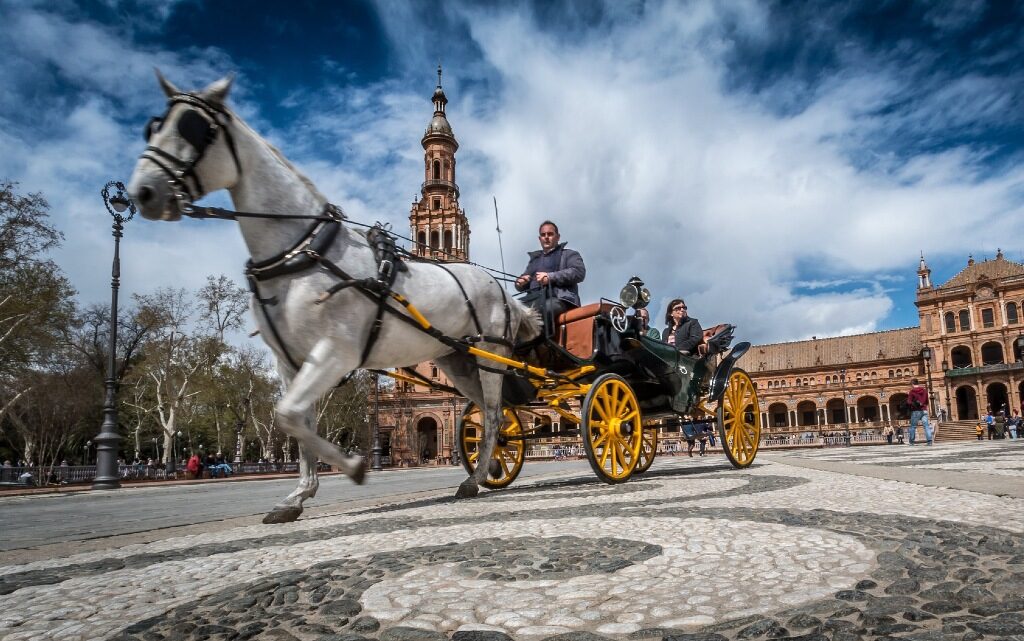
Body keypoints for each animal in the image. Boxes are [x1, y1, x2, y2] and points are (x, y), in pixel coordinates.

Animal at [125, 72, 536, 522]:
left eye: (193, 128)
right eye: (153, 127)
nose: (143, 191)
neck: (303, 251)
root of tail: (501, 291)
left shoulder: (334, 351)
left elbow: (292, 417)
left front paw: (353, 466)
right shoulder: (293, 362)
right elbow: (296, 420)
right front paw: (299, 494)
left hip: (488, 356)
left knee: (493, 414)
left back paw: (475, 477)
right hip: (459, 361)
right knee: (491, 413)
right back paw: (489, 468)